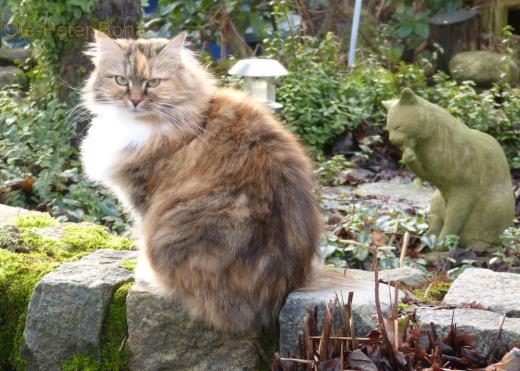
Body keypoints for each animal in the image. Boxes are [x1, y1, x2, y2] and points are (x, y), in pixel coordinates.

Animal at [80, 29, 320, 332]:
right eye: (121, 80)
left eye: (153, 82)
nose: (134, 101)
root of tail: (270, 302)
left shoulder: (144, 197)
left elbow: (141, 233)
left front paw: (141, 270)